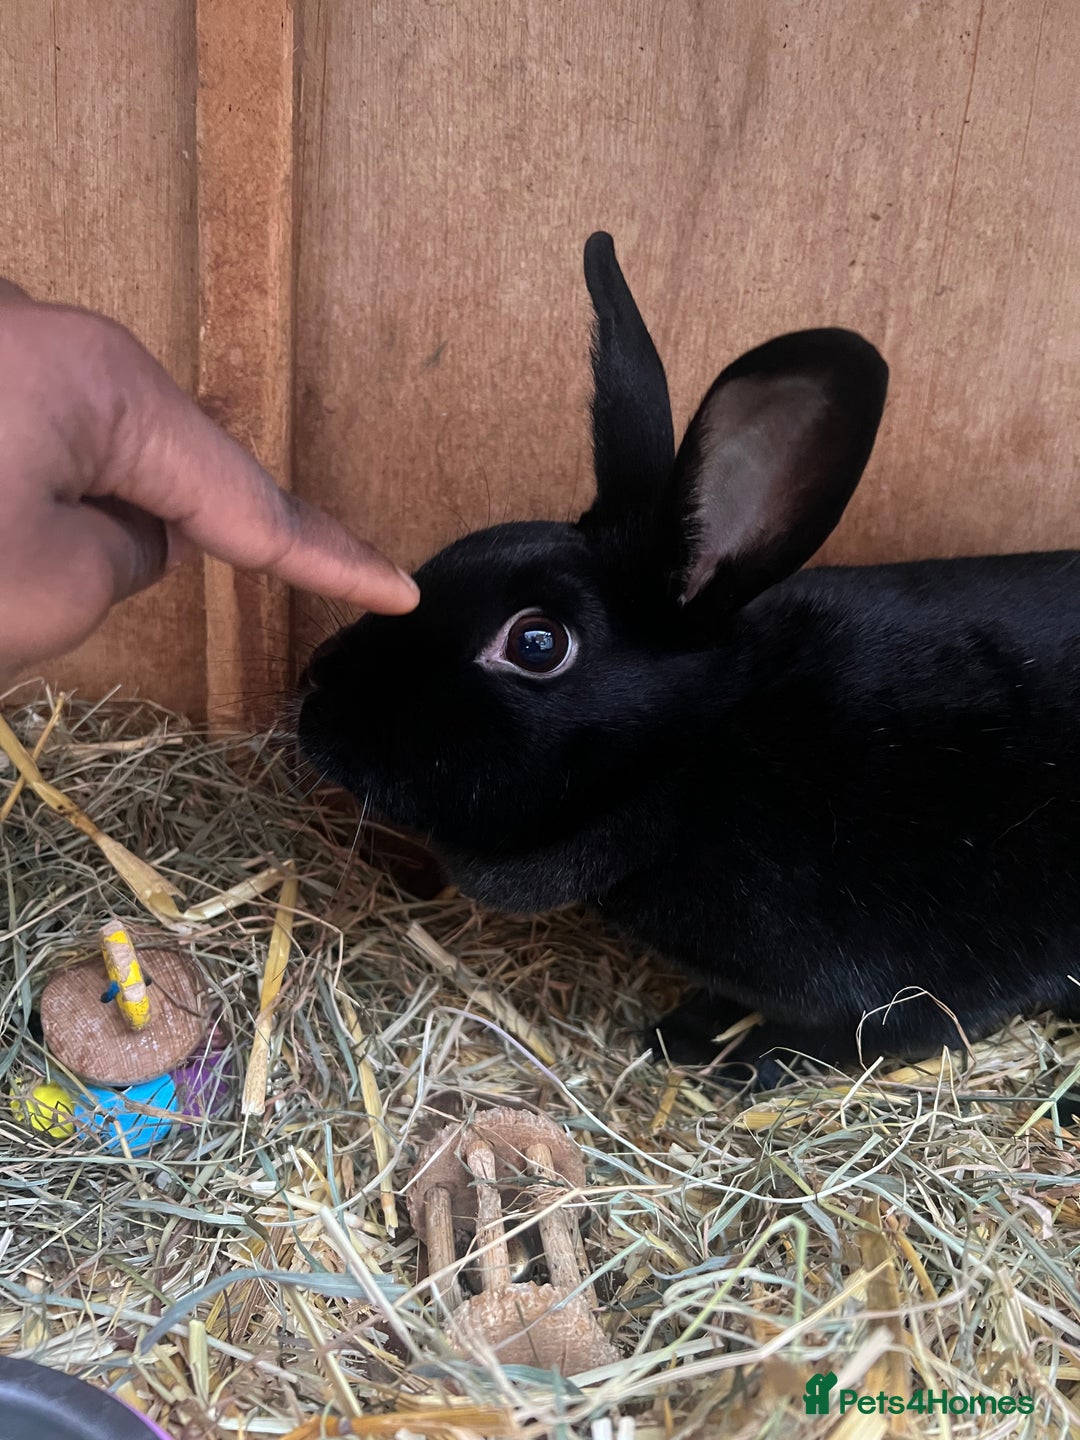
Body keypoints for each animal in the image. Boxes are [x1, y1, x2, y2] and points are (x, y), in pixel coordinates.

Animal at [298, 231, 1080, 1089]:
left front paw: (708, 1046)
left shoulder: (905, 985)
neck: (702, 749)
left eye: (536, 643)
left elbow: (875, 1035)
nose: (314, 688)